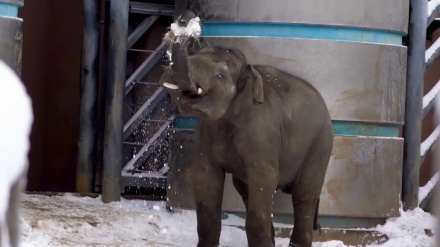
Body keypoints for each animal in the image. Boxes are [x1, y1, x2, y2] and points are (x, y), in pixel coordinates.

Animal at [162, 39, 334, 246]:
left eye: (220, 76)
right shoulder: (205, 131)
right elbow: (206, 176)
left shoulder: (262, 130)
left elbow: (265, 177)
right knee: (245, 189)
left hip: (320, 145)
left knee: (304, 194)